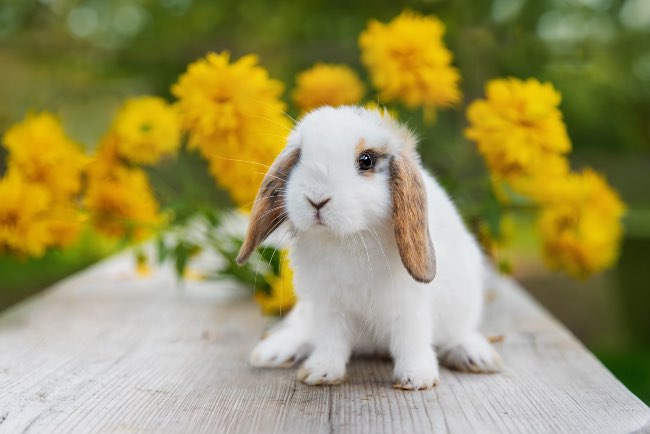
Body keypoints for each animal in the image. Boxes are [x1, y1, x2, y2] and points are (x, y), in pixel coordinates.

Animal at [237, 105, 501, 390]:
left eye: (366, 160)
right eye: (300, 157)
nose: (316, 200)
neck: (350, 236)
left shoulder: (410, 303)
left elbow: (412, 338)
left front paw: (416, 378)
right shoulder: (329, 306)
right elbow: (330, 339)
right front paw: (321, 373)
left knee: (458, 333)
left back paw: (476, 356)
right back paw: (272, 352)